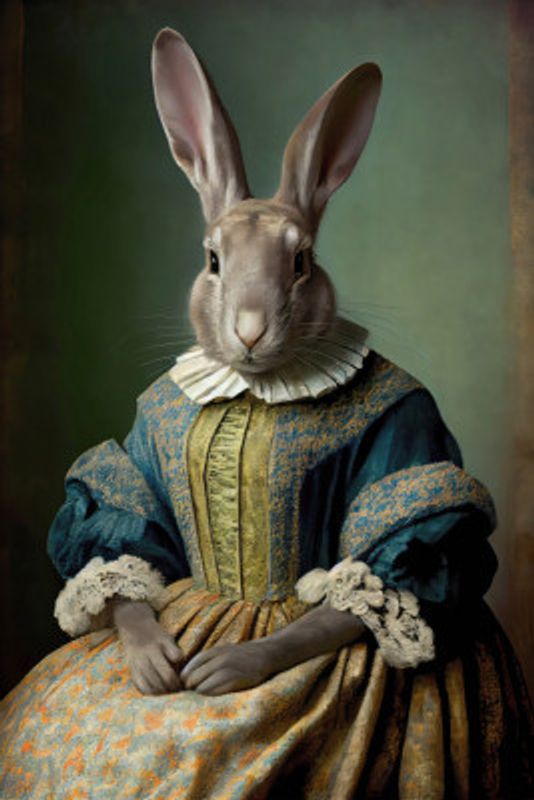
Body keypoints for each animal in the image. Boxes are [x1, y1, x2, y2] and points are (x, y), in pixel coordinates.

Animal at [113, 27, 381, 695]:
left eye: (301, 262)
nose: (250, 331)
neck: (258, 389)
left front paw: (227, 665)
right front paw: (155, 660)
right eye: (213, 260)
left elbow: (354, 596)